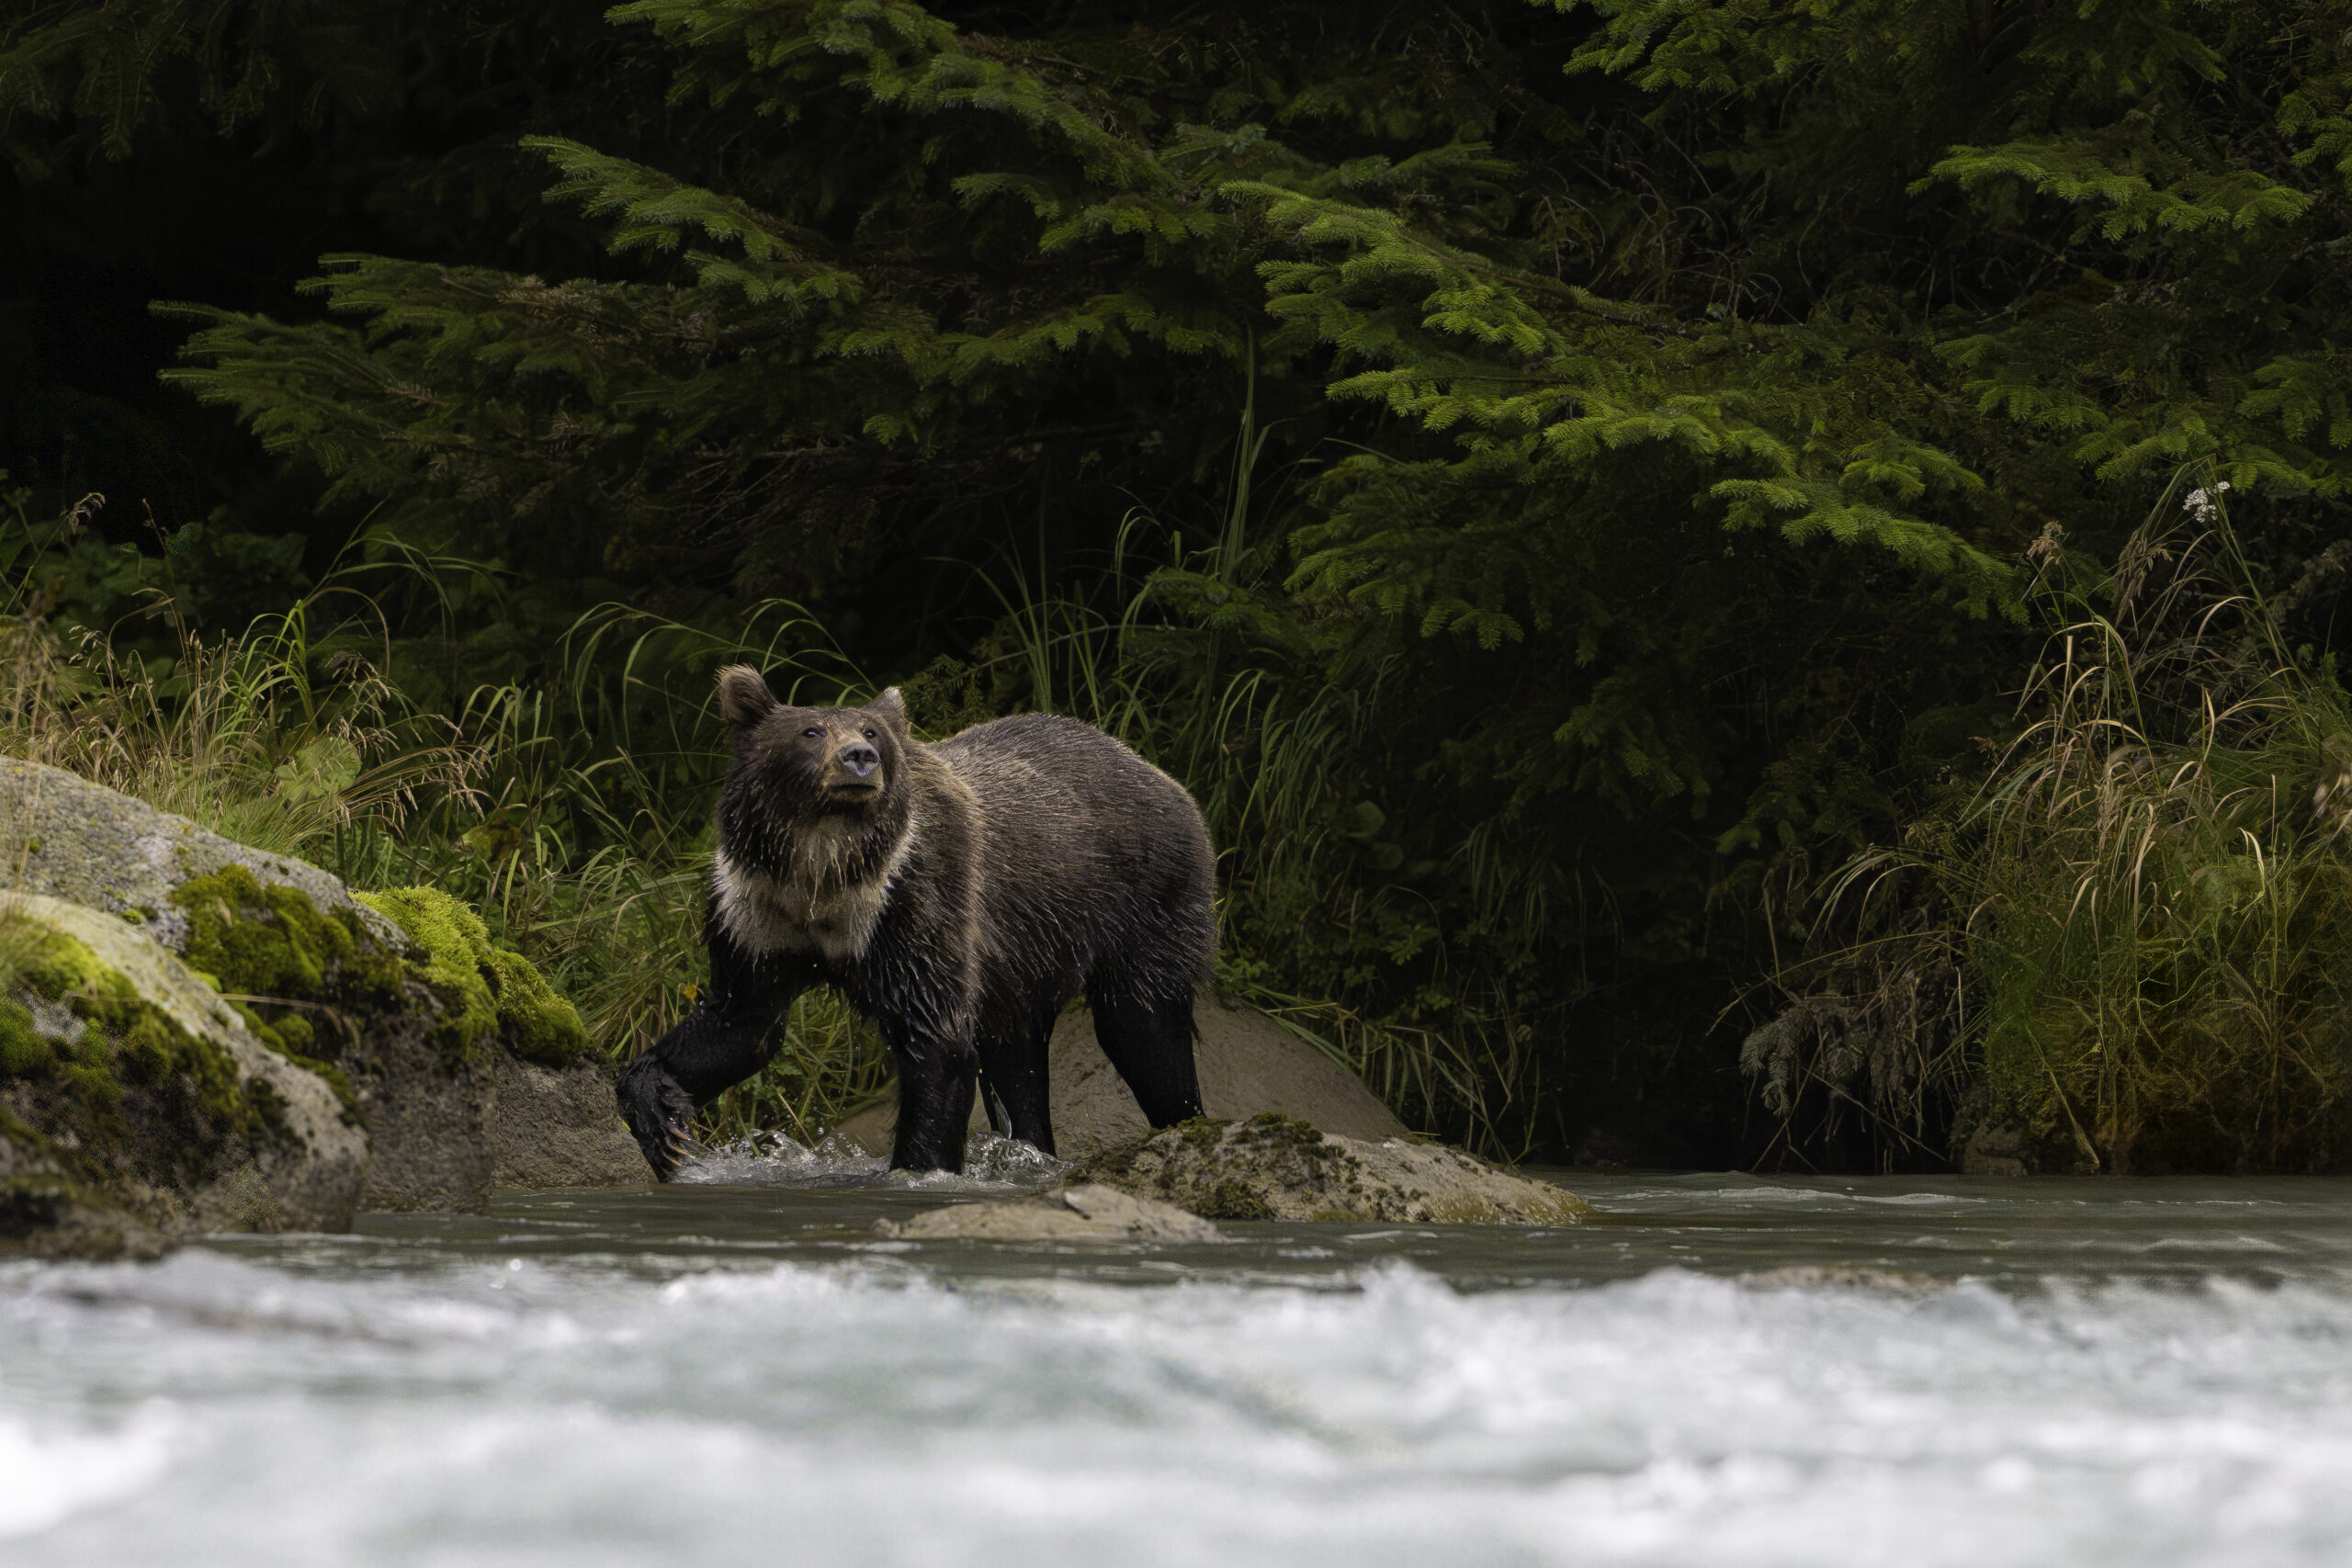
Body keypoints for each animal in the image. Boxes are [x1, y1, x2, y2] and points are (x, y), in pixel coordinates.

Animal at [616, 666, 1216, 1176]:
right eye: (810, 731)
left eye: (872, 731)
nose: (859, 758)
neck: (826, 877)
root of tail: (1154, 771)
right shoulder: (759, 914)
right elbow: (739, 1023)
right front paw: (660, 1119)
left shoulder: (914, 908)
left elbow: (937, 1043)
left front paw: (916, 1167)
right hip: (1025, 955)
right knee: (1016, 1055)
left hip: (1145, 895)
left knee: (1142, 1025)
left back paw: (1183, 1123)